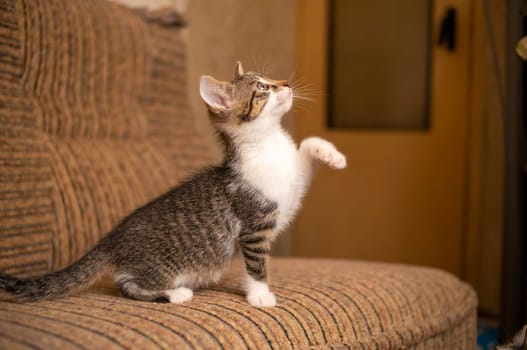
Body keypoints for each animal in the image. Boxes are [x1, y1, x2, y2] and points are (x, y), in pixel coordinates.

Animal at [0, 62, 346, 306]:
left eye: (272, 80)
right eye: (262, 88)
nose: (285, 84)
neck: (268, 144)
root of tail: (112, 239)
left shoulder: (288, 193)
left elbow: (305, 149)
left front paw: (333, 155)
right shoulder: (254, 223)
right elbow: (257, 264)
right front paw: (260, 295)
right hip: (159, 265)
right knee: (125, 283)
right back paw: (173, 294)